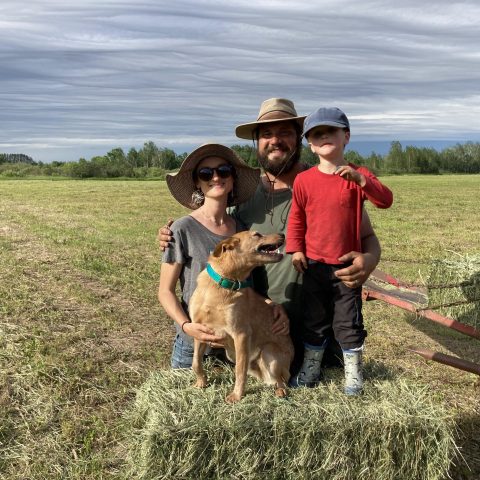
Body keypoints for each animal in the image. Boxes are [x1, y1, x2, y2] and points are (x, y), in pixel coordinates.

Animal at [189, 231, 294, 404]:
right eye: (257, 234)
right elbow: (196, 362)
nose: (282, 234)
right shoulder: (199, 330)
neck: (222, 285)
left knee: (282, 379)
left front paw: (237, 396)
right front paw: (201, 383)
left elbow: (239, 370)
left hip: (268, 352)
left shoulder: (241, 334)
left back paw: (280, 391)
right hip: (232, 354)